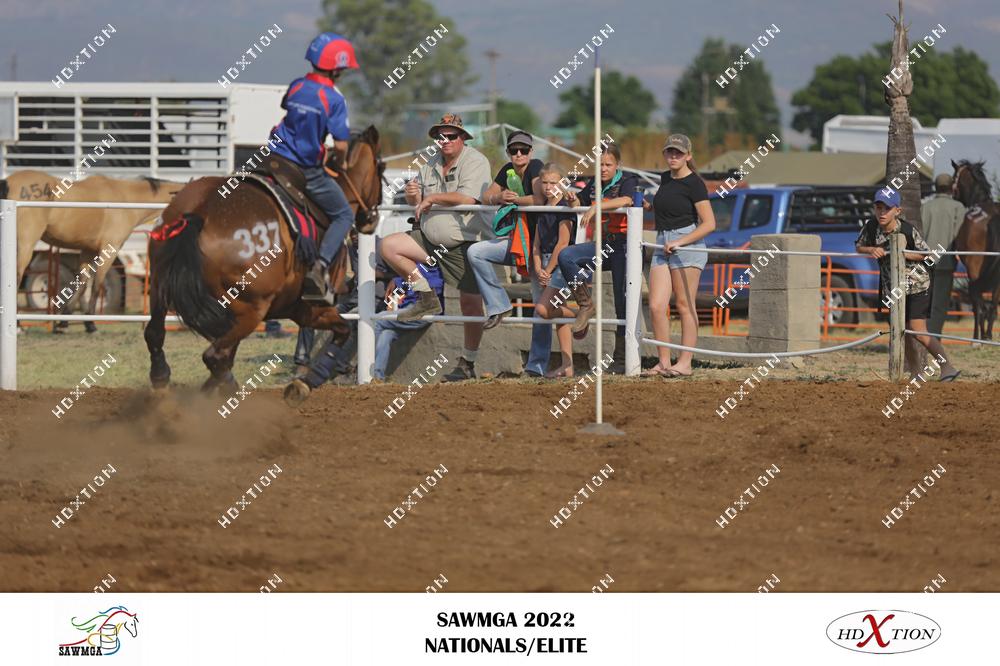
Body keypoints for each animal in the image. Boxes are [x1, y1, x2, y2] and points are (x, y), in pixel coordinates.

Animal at [1, 170, 184, 332]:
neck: (124, 198)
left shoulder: (87, 250)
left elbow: (81, 285)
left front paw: (63, 322)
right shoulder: (109, 250)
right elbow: (97, 286)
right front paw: (90, 324)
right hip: (25, 245)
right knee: (16, 278)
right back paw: (18, 327)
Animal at [145, 125, 383, 392]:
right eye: (380, 167)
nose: (371, 218)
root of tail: (201, 212)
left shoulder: (293, 308)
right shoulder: (309, 307)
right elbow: (342, 330)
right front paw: (308, 381)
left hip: (161, 287)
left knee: (155, 334)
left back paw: (162, 376)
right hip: (251, 309)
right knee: (215, 356)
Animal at [951, 159, 1000, 340]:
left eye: (954, 178)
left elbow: (975, 303)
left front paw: (976, 335)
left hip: (974, 269)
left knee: (978, 302)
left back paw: (979, 337)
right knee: (993, 304)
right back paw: (988, 335)